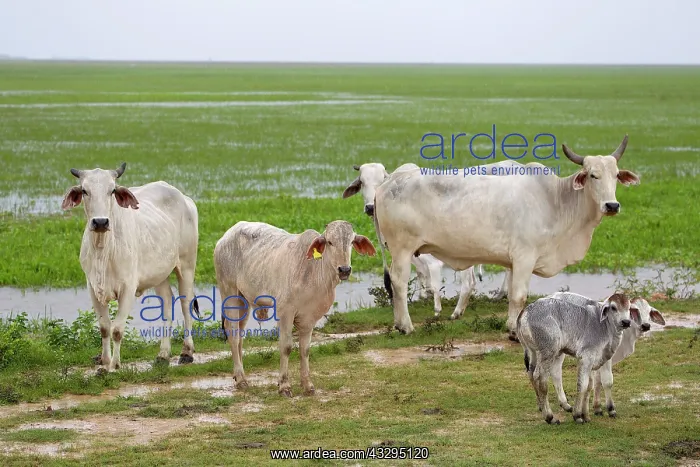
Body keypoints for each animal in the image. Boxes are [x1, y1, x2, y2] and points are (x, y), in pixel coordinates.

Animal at [61, 163, 199, 371]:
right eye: (85, 190)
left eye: (112, 190)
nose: (100, 222)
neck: (103, 249)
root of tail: (185, 199)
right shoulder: (92, 287)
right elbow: (104, 327)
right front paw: (104, 362)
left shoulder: (128, 287)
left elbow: (117, 329)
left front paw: (115, 366)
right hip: (160, 274)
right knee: (167, 303)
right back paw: (163, 355)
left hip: (186, 265)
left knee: (186, 303)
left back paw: (186, 352)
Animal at [214, 220, 376, 397]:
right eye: (330, 242)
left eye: (351, 242)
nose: (344, 270)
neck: (314, 273)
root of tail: (228, 233)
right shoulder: (285, 313)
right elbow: (286, 347)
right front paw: (284, 386)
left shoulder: (309, 318)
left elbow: (305, 350)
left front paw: (307, 385)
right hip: (229, 292)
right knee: (233, 334)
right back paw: (241, 379)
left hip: (243, 300)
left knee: (240, 335)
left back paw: (238, 375)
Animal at [373, 135, 640, 338]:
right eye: (593, 175)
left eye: (616, 175)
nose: (612, 205)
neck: (555, 200)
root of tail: (388, 183)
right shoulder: (524, 257)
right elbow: (519, 296)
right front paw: (513, 330)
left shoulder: (514, 262)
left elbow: (513, 292)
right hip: (402, 250)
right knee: (398, 282)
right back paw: (406, 326)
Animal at [516, 293, 633, 424]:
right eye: (613, 307)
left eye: (629, 307)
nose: (626, 322)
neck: (604, 326)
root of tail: (525, 311)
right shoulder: (586, 357)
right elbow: (582, 385)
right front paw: (578, 415)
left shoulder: (600, 359)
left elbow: (596, 384)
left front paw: (589, 414)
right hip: (548, 352)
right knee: (541, 379)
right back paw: (549, 416)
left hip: (536, 352)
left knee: (538, 373)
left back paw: (549, 406)